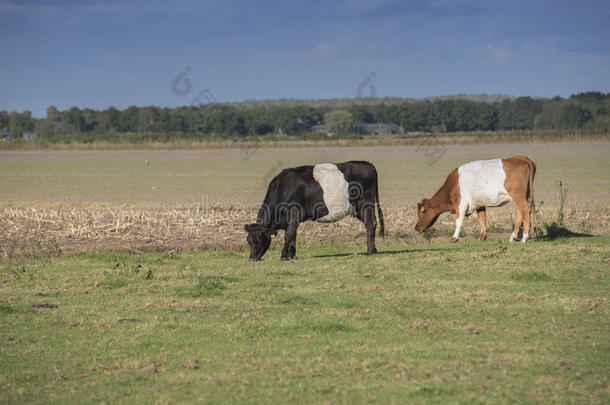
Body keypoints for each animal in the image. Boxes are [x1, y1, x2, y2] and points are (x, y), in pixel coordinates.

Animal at [243, 159, 382, 260]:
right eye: (249, 241)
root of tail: (367, 164)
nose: (252, 258)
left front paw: (283, 255)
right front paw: (291, 255)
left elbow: (289, 234)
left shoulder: (294, 213)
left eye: (259, 240)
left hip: (366, 203)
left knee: (370, 224)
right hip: (357, 208)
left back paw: (369, 251)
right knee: (372, 223)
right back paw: (373, 249)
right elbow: (293, 235)